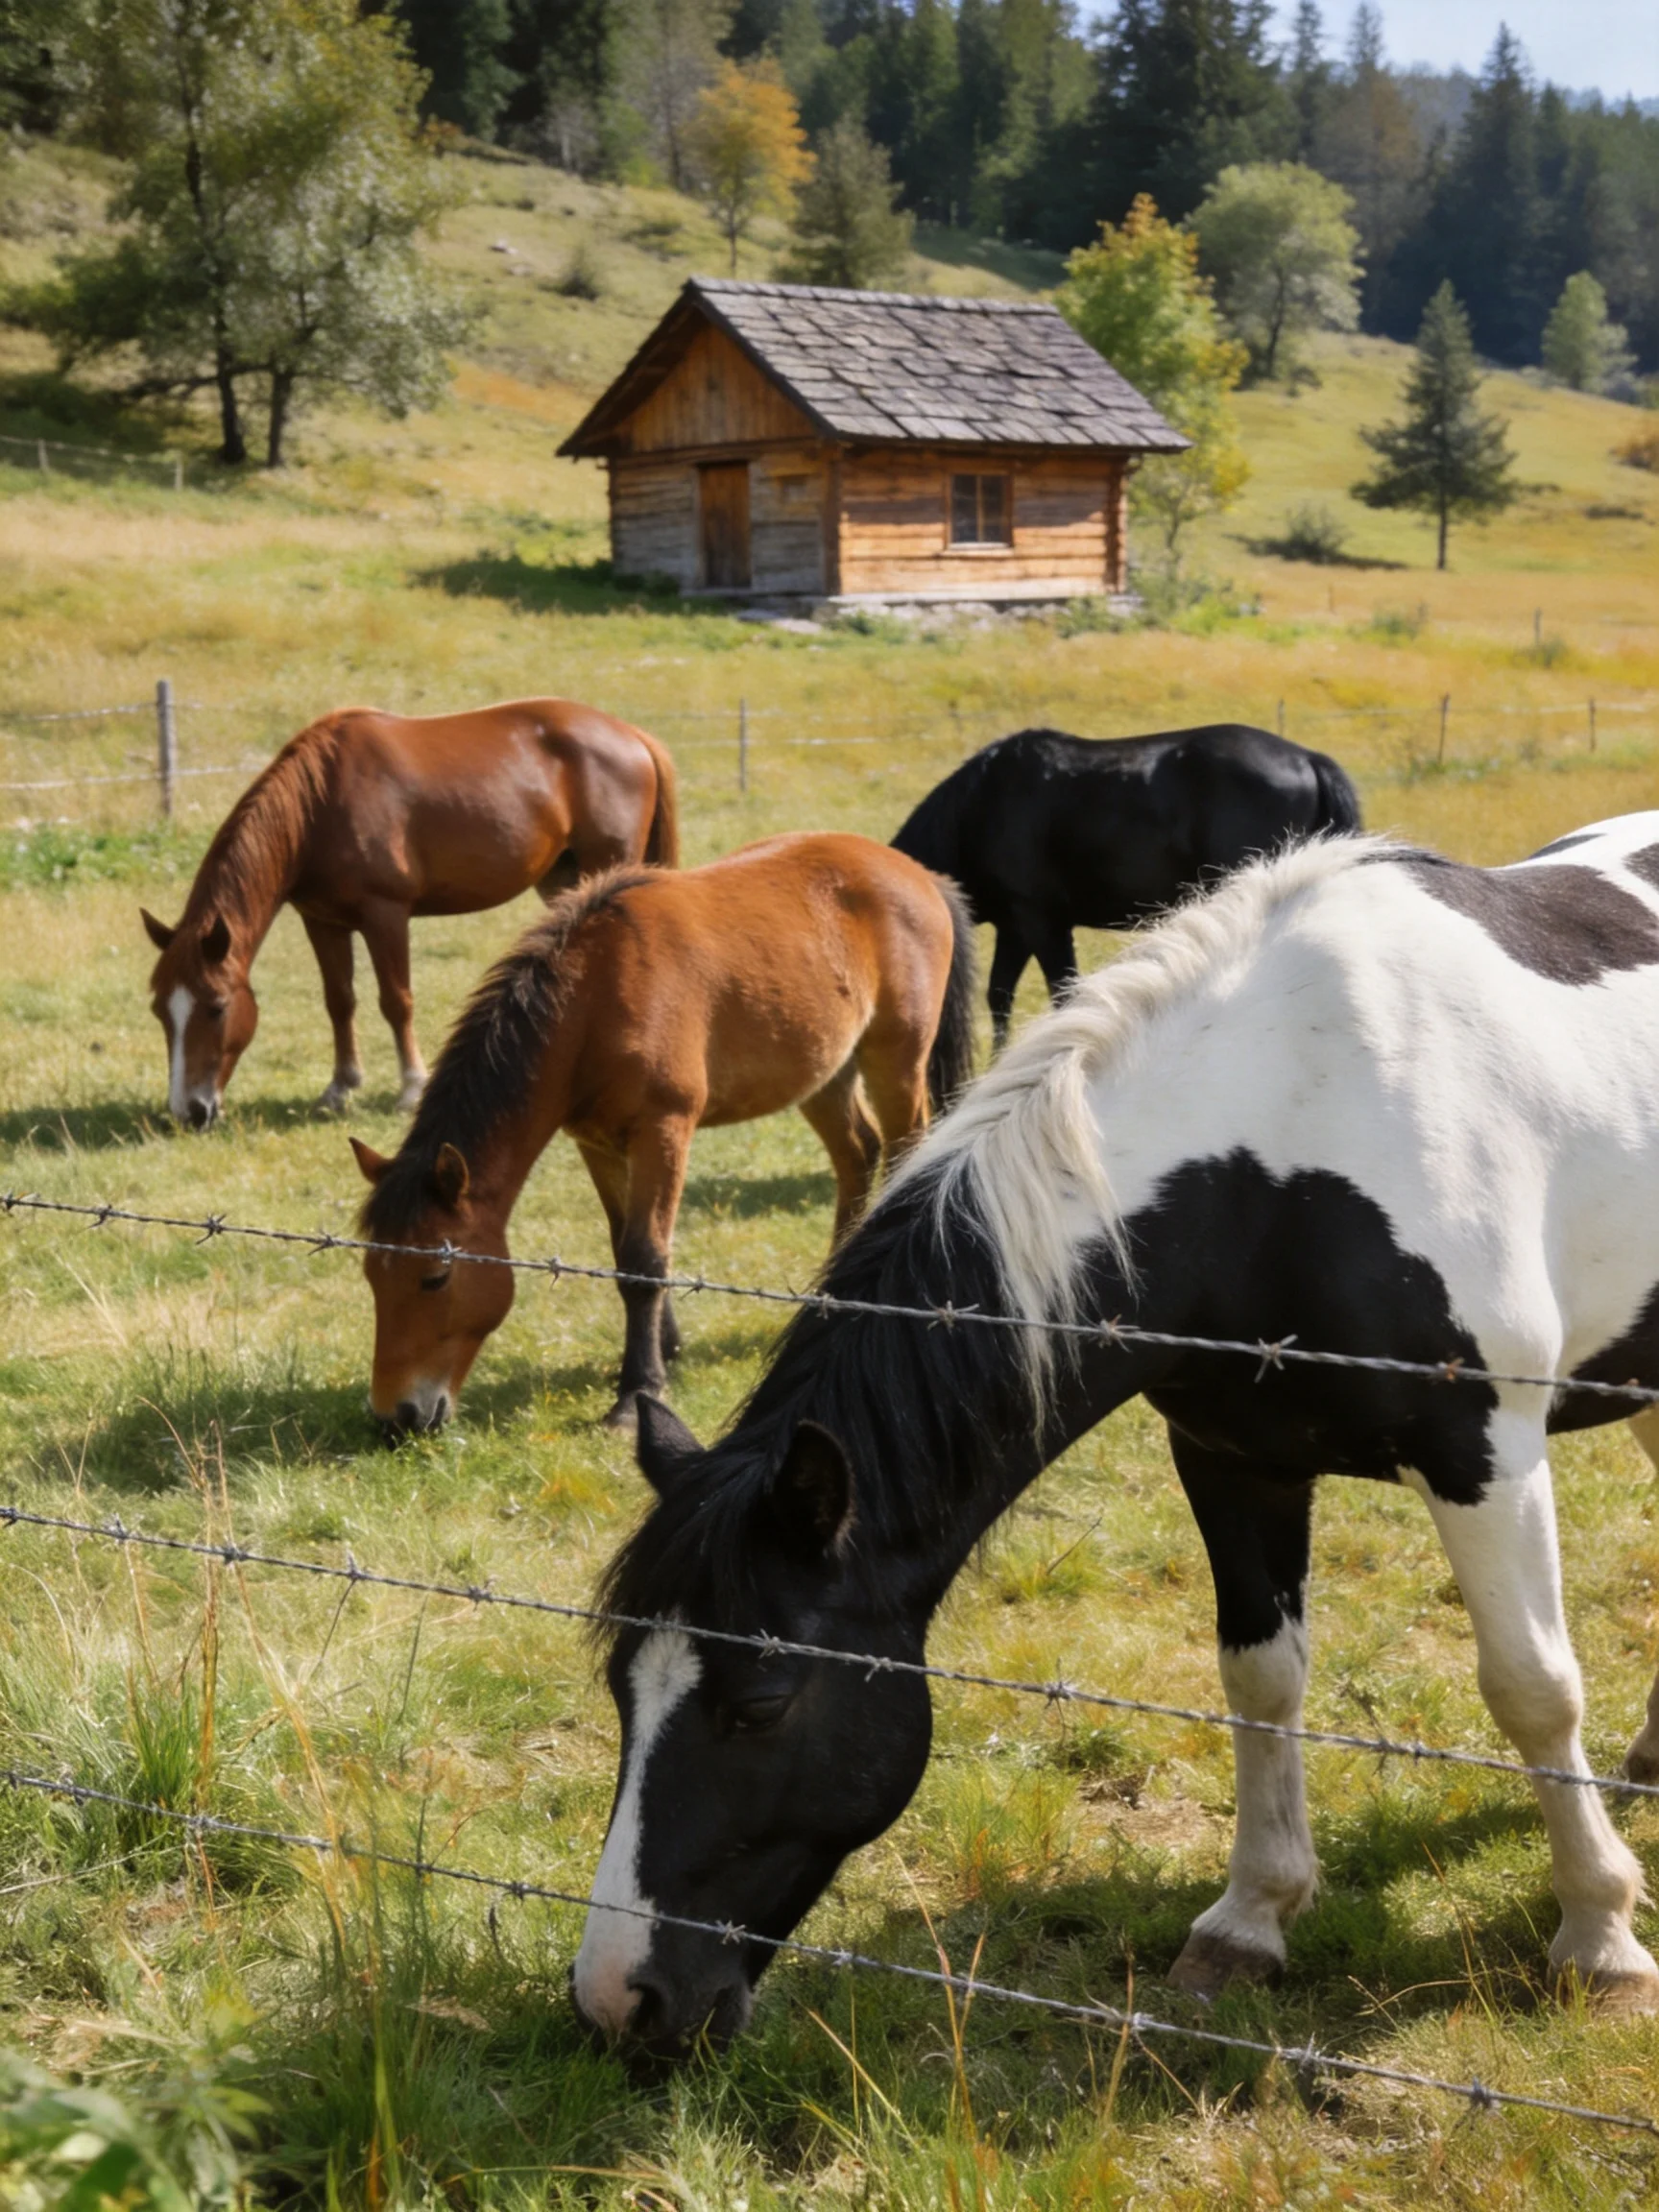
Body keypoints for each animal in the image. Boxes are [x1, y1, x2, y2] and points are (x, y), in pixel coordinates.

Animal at [140, 698, 679, 1128]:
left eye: (216, 1007)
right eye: (160, 1011)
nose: (189, 1112)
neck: (321, 803)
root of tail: (634, 737)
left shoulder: (386, 914)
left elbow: (395, 1001)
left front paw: (411, 1087)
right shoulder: (323, 920)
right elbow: (340, 1000)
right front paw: (340, 1087)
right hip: (564, 880)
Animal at [350, 833, 977, 1437]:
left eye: (435, 1278)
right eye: (372, 1275)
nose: (395, 1417)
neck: (594, 997)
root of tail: (921, 877)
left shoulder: (663, 1130)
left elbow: (645, 1258)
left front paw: (637, 1391)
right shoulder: (598, 1144)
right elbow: (622, 1250)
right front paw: (664, 1349)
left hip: (896, 1062)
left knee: (904, 1152)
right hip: (824, 1070)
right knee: (857, 1154)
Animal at [573, 813, 1659, 2055]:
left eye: (759, 1705)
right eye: (622, 1689)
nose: (618, 2001)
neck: (1287, 1144)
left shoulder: (1484, 1454)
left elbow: (1533, 1687)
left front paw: (1600, 1938)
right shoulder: (1233, 1460)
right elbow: (1260, 1679)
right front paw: (1249, 1920)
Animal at [891, 723, 1362, 1046]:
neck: (980, 808)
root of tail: (1308, 759)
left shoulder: (1041, 921)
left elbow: (1063, 995)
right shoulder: (1015, 927)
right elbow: (999, 996)